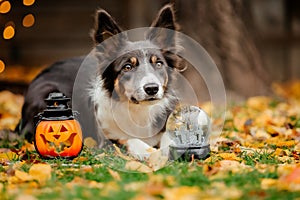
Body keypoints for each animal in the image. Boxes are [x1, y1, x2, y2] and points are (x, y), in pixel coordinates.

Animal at [18, 3, 184, 156]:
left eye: (158, 64)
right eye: (127, 67)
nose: (152, 88)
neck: (138, 110)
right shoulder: (107, 140)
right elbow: (129, 139)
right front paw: (150, 153)